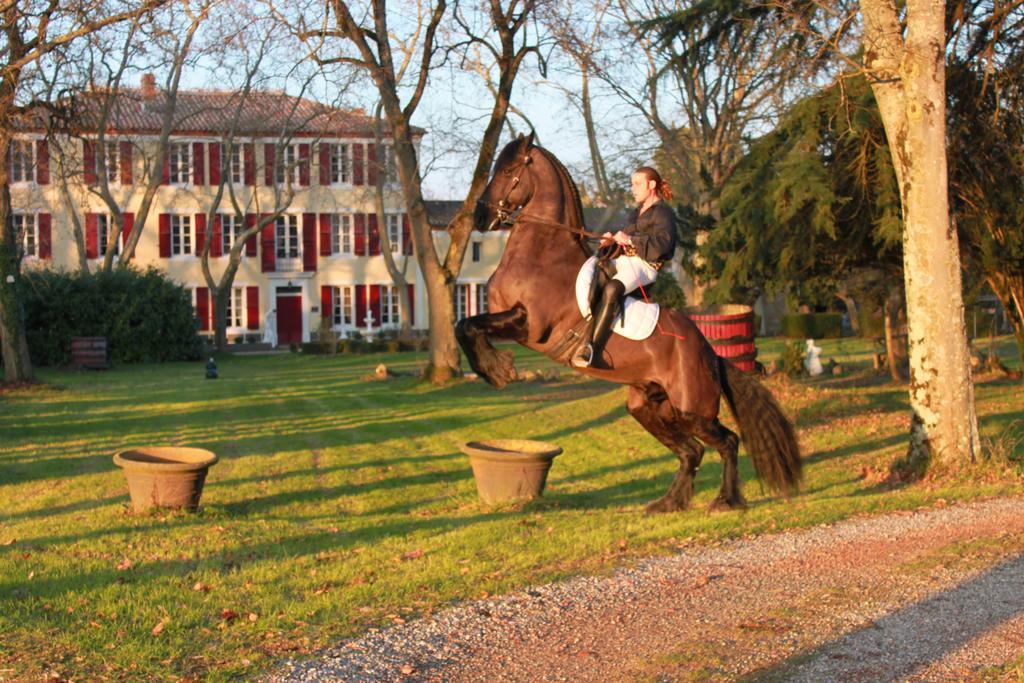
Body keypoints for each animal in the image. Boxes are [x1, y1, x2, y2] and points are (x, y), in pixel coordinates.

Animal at [456, 135, 798, 511]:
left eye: (508, 171)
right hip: (647, 407)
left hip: (692, 411)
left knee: (727, 442)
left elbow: (468, 326)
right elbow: (466, 326)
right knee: (691, 452)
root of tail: (711, 355)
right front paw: (495, 368)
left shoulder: (529, 325)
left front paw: (497, 370)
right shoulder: (512, 321)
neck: (542, 253)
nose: (481, 216)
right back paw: (668, 503)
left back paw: (725, 501)